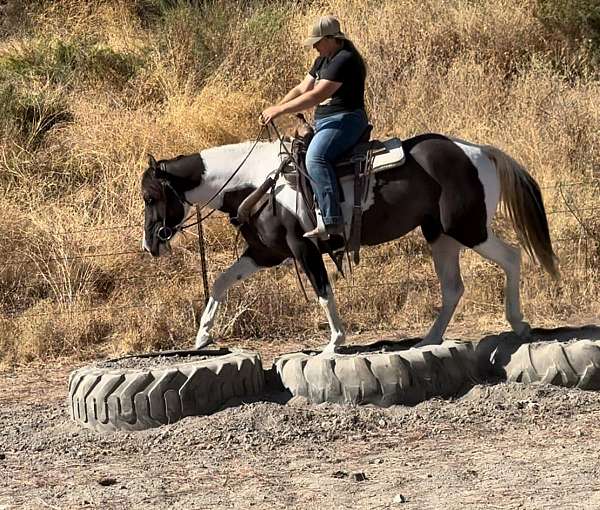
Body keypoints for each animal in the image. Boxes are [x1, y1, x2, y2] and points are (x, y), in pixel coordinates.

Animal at [141, 129, 556, 352]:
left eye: (150, 197)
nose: (151, 244)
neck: (258, 180)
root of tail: (479, 151)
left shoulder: (303, 248)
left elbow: (323, 291)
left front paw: (335, 341)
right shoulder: (264, 252)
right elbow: (221, 282)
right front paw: (202, 336)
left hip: (468, 228)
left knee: (512, 257)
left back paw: (518, 323)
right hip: (440, 234)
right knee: (453, 287)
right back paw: (429, 339)